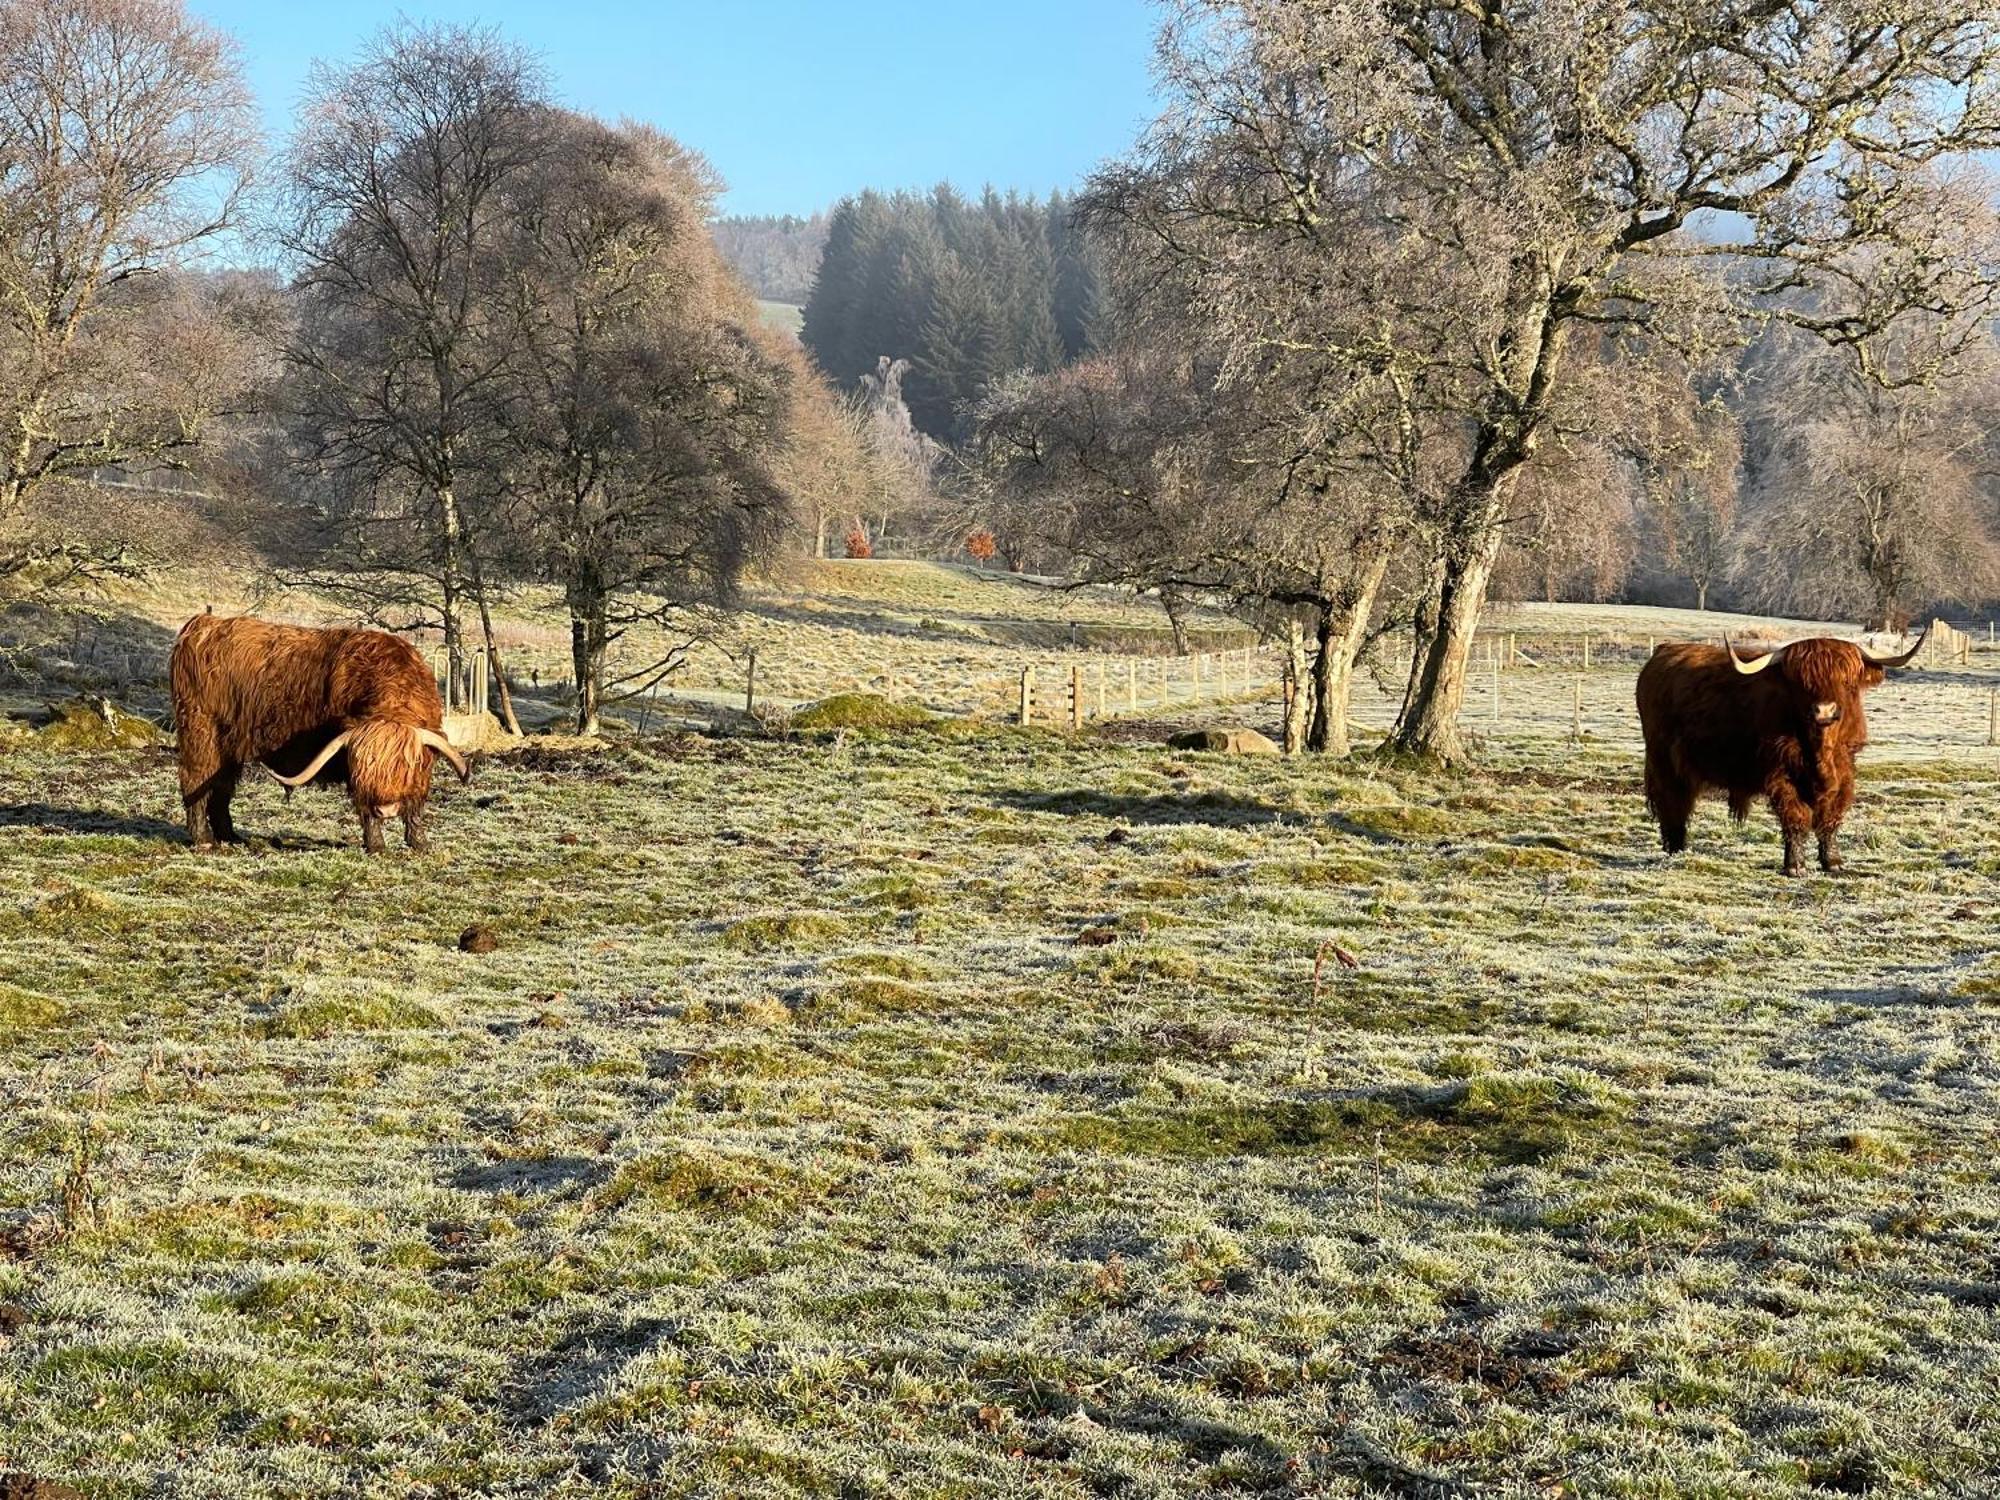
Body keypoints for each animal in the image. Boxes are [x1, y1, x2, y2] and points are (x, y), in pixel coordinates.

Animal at [170, 612, 470, 852]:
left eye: (405, 767)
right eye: (365, 770)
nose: (386, 809)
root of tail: (202, 625)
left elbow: (416, 805)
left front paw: (420, 844)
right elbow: (364, 807)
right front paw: (376, 846)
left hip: (228, 747)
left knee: (221, 786)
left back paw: (231, 837)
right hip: (201, 736)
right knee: (195, 781)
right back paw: (204, 839)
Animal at [1640, 636, 1920, 880]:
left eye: (1847, 681)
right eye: (1802, 683)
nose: (1824, 711)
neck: (1821, 750)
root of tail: (1665, 650)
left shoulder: (1846, 770)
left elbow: (1831, 816)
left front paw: (1833, 862)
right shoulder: (1781, 774)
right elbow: (1796, 817)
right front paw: (1795, 867)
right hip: (1663, 759)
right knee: (1672, 802)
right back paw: (1675, 848)